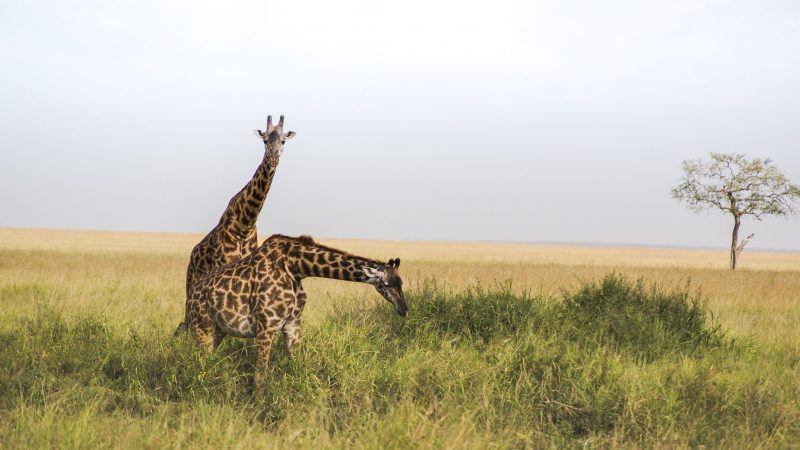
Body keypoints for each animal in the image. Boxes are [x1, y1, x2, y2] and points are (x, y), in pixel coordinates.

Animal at [179, 115, 296, 334]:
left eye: (283, 141)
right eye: (264, 140)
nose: (273, 159)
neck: (245, 222)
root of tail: (192, 256)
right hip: (191, 284)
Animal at [186, 234, 406, 392]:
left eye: (401, 283)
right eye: (387, 284)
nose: (404, 309)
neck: (295, 267)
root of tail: (191, 294)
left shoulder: (292, 325)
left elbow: (299, 369)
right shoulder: (266, 326)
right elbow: (260, 377)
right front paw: (259, 410)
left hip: (218, 330)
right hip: (202, 326)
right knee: (200, 364)